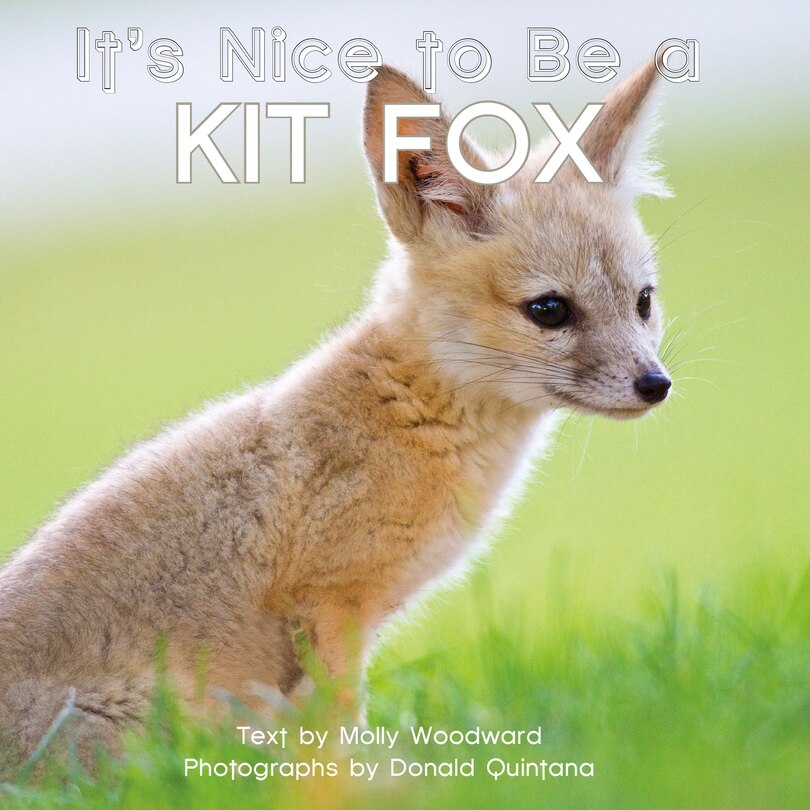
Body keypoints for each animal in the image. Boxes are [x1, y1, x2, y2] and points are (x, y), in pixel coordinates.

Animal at [0, 60, 673, 776]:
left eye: (643, 302)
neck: (411, 410)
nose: (656, 385)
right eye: (549, 310)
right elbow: (340, 728)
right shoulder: (333, 604)